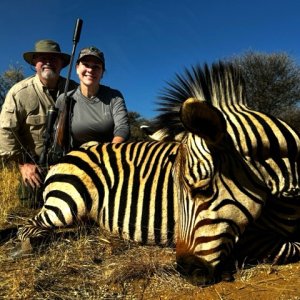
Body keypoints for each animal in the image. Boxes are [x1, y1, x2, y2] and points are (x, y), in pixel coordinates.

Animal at [16, 61, 300, 284]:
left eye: (203, 189)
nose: (185, 270)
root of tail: (70, 154)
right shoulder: (249, 237)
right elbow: (291, 248)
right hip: (66, 204)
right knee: (28, 227)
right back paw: (30, 245)